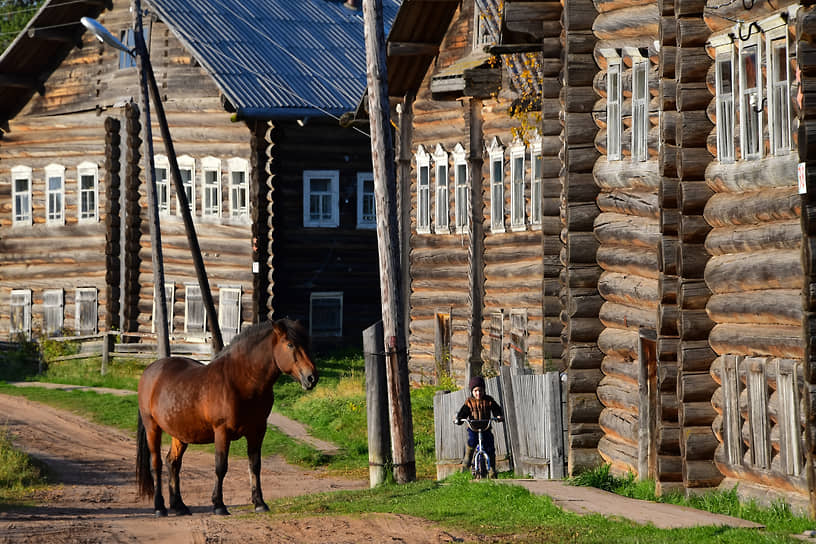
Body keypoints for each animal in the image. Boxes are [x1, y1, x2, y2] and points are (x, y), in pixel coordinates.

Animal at [135, 316, 318, 516]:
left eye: (307, 343)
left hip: (180, 434)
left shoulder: (257, 431)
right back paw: (160, 507)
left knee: (172, 463)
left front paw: (260, 503)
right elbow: (221, 467)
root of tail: (150, 371)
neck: (241, 381)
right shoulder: (222, 432)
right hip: (152, 427)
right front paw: (219, 505)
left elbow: (255, 465)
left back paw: (179, 506)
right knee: (156, 464)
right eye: (290, 344)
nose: (312, 378)